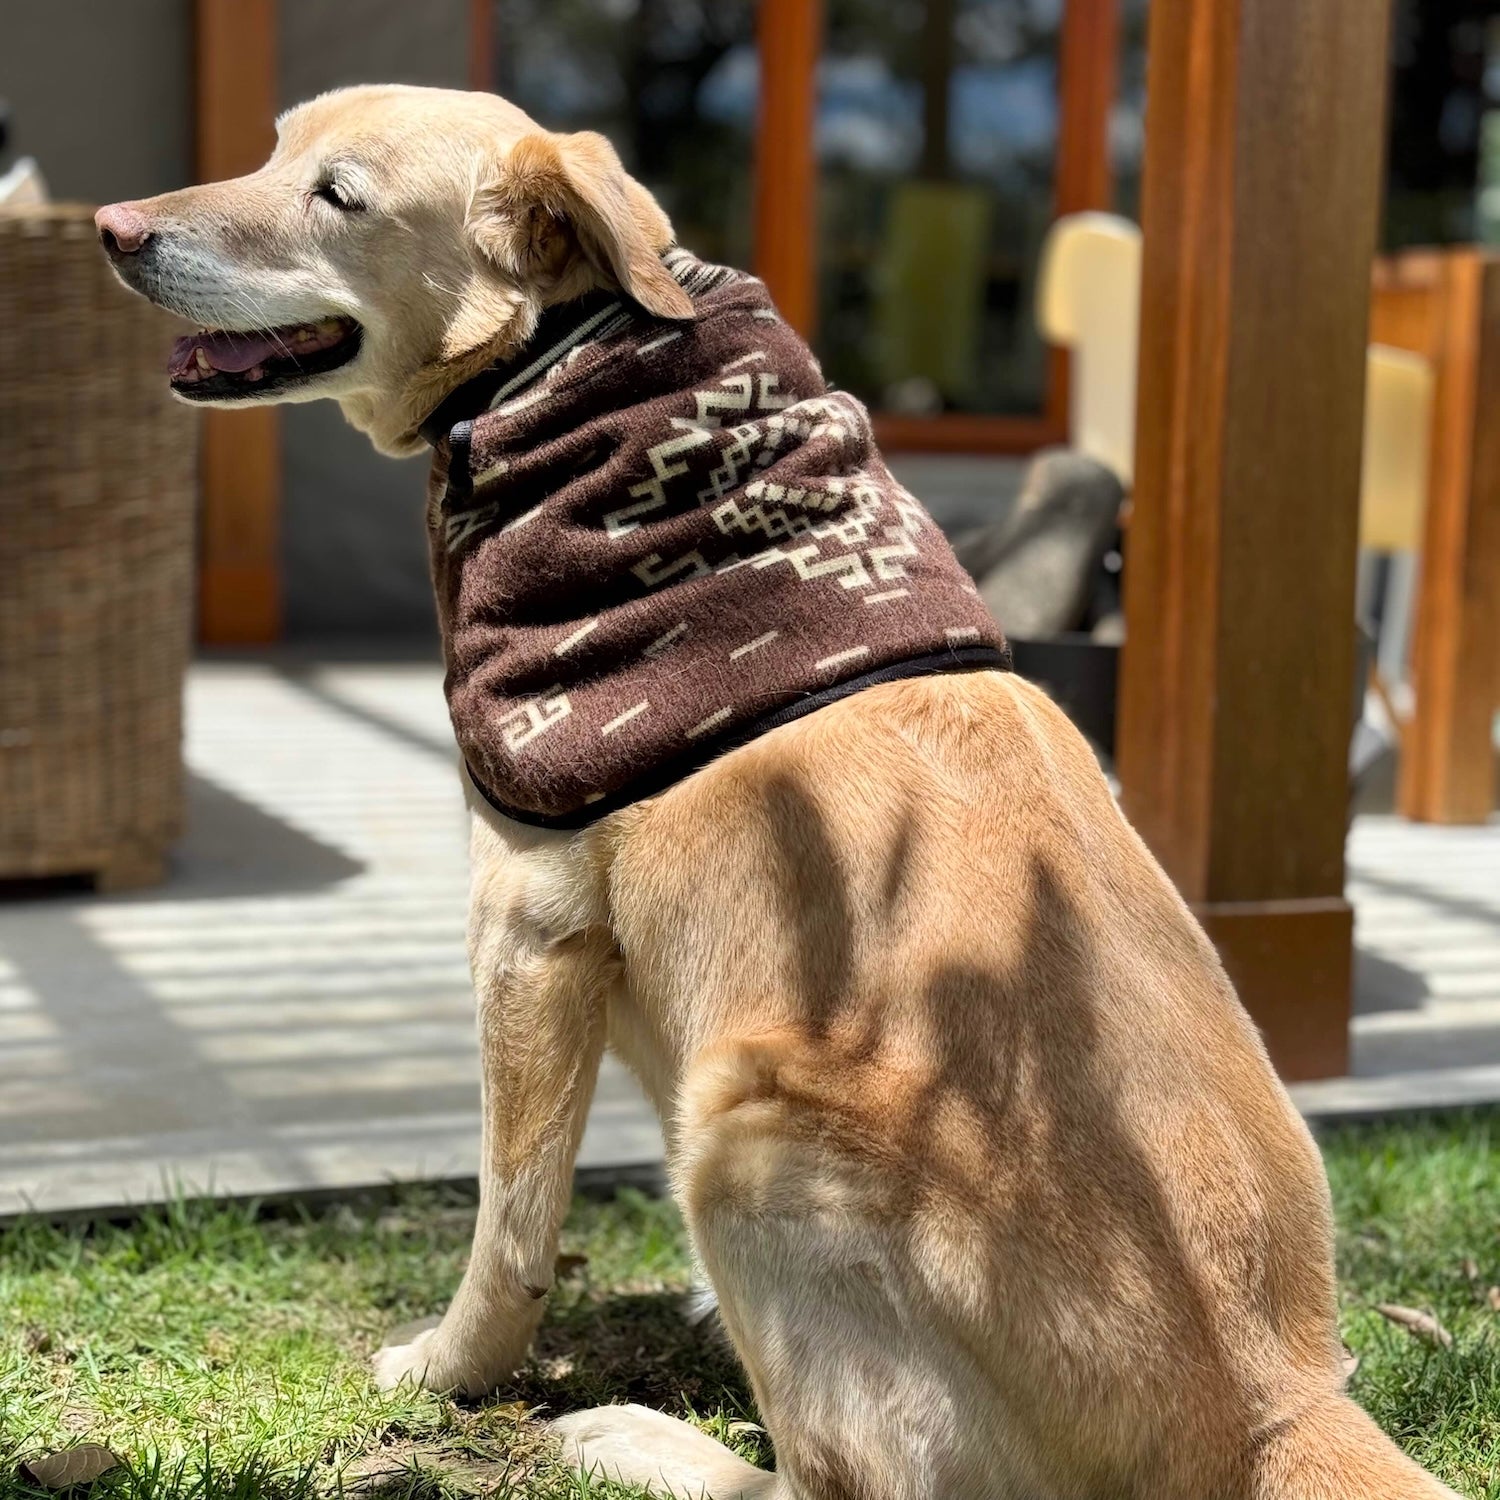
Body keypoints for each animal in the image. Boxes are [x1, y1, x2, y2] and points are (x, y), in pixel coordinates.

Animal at [93, 85, 1452, 1500]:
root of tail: (1276, 1401)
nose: (113, 229)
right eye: (271, 149)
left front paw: (450, 1368)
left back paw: (637, 1437)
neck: (568, 369)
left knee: (830, 1477)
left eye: (339, 197)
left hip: (742, 1123)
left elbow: (510, 1223)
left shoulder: (525, 931)